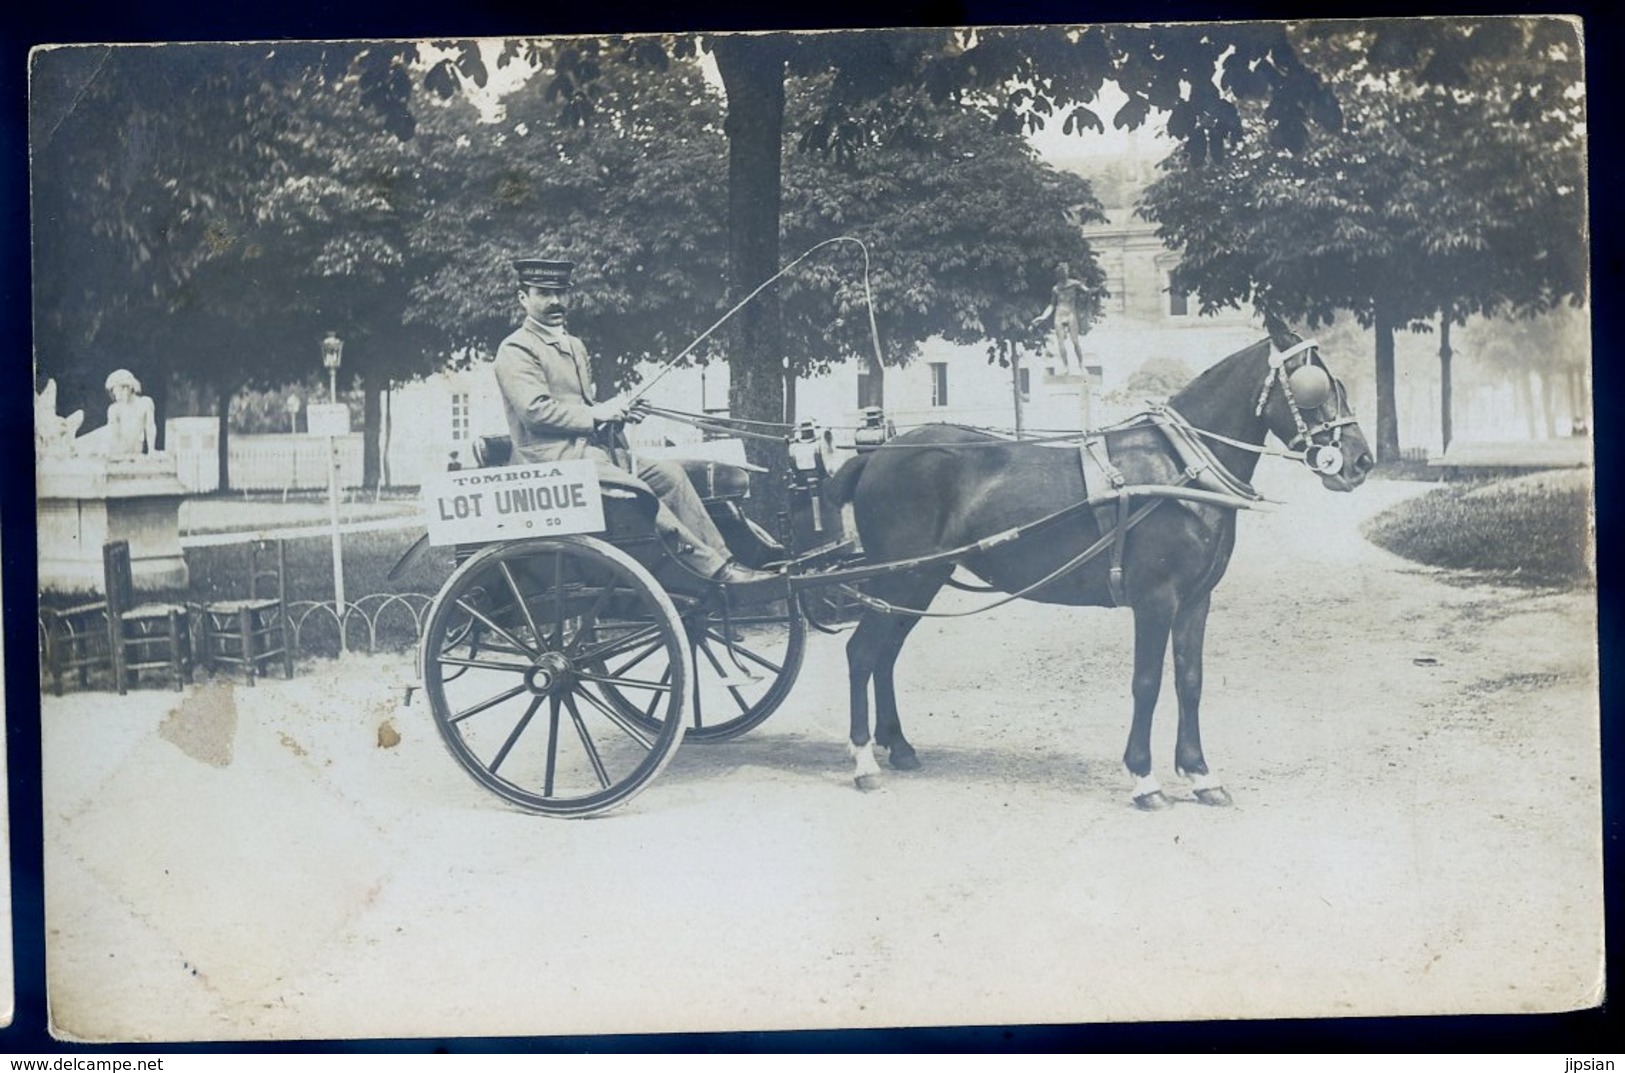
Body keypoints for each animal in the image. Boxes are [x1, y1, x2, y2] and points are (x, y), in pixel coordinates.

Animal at [825, 334, 1371, 806]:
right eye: (1314, 386)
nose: (1360, 461)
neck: (1180, 468)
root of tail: (877, 457)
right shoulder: (1155, 600)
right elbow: (1146, 682)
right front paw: (1145, 778)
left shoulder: (1196, 600)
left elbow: (1190, 680)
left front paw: (1200, 774)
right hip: (900, 577)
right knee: (861, 653)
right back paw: (863, 761)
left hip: (920, 582)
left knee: (885, 656)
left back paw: (899, 746)